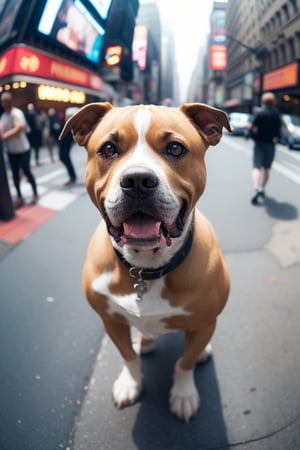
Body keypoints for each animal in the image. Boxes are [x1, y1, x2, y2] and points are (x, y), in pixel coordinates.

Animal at [59, 102, 231, 422]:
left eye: (175, 148)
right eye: (109, 148)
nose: (137, 180)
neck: (146, 267)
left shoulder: (203, 324)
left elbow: (184, 363)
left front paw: (183, 395)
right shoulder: (111, 321)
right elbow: (127, 356)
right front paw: (130, 383)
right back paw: (146, 343)